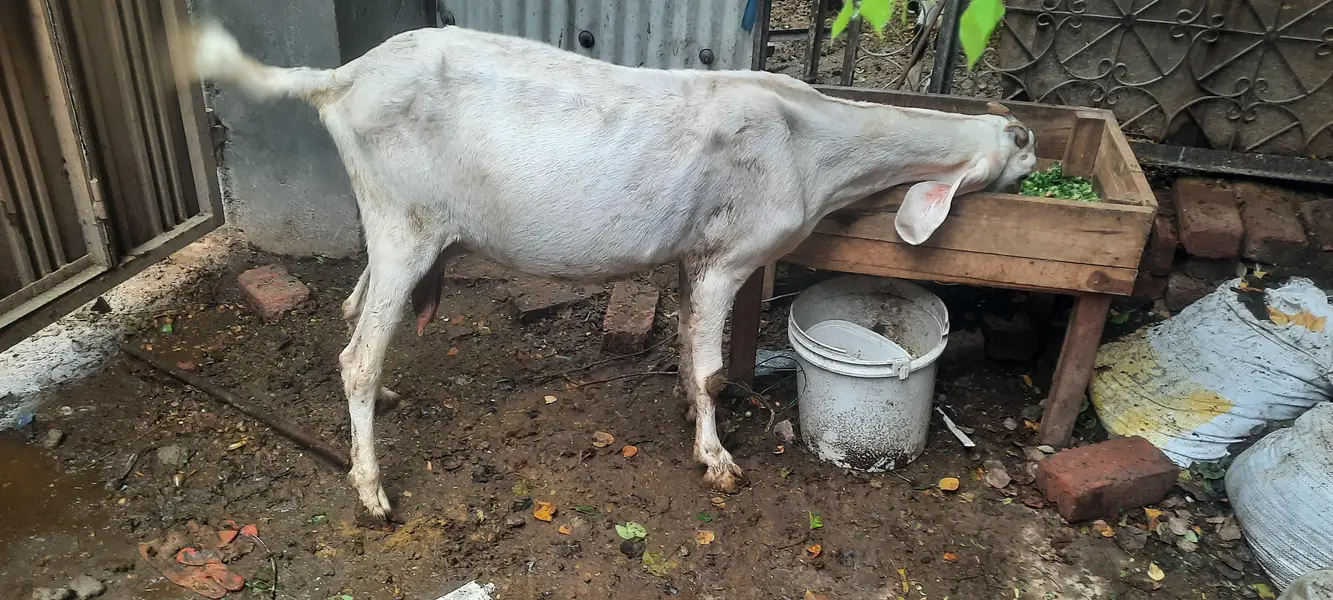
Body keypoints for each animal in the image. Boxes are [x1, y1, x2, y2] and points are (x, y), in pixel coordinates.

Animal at [186, 21, 1037, 521]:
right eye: (1018, 148)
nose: (1029, 144)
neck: (813, 139)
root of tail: (340, 78)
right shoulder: (732, 254)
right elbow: (713, 370)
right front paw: (718, 461)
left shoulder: (692, 257)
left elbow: (690, 351)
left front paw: (687, 412)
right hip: (405, 223)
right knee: (355, 355)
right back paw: (370, 489)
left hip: (391, 225)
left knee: (353, 316)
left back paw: (387, 402)